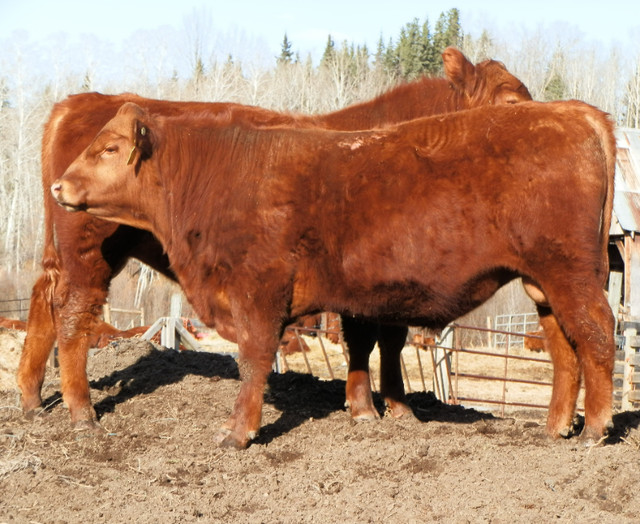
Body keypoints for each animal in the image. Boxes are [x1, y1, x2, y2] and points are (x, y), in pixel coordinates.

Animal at [17, 46, 532, 430]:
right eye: (510, 103)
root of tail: (77, 103)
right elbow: (366, 338)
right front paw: (366, 408)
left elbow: (388, 337)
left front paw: (397, 407)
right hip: (90, 248)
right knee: (73, 310)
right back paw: (81, 411)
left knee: (43, 297)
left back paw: (31, 396)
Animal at [53, 100, 616, 448]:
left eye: (108, 149)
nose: (59, 186)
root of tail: (571, 111)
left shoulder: (259, 292)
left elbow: (254, 359)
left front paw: (238, 432)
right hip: (542, 283)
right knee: (565, 348)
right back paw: (555, 428)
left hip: (571, 274)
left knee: (596, 332)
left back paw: (595, 430)